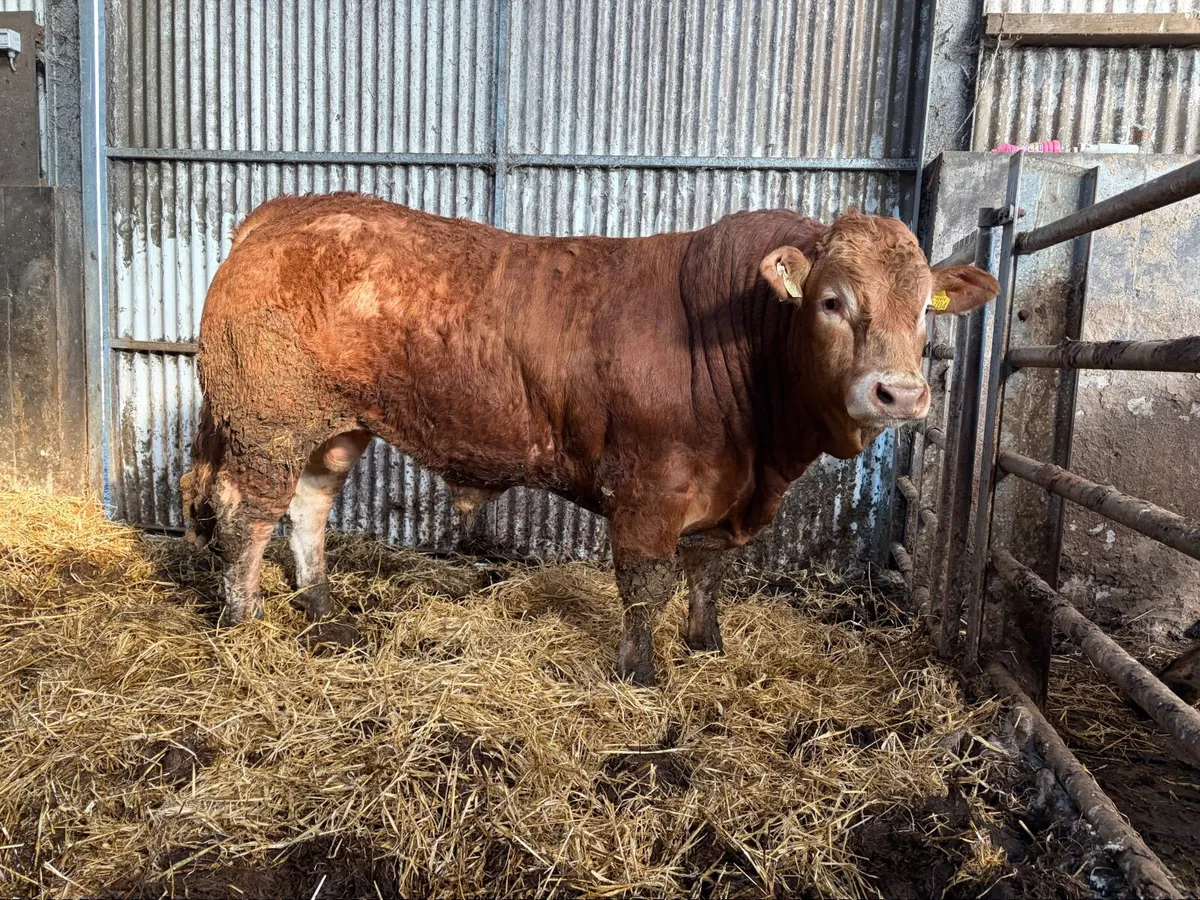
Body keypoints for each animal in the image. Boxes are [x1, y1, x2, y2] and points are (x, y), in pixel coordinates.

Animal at [181, 192, 999, 685]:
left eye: (926, 307)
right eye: (832, 301)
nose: (901, 393)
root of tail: (283, 214)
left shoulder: (726, 494)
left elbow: (707, 572)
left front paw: (707, 645)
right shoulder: (650, 489)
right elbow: (646, 582)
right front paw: (641, 674)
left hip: (334, 427)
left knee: (308, 507)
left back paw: (323, 611)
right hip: (267, 423)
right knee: (245, 513)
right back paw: (243, 624)